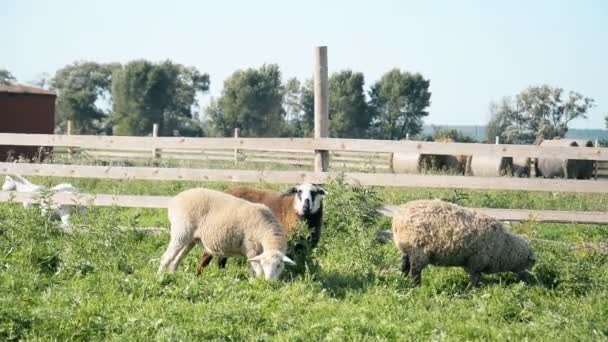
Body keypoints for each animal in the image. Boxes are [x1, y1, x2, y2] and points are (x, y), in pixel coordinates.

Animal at [197, 183, 326, 274]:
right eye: (299, 191)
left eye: (314, 192)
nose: (306, 206)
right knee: (207, 255)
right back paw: (199, 275)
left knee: (221, 258)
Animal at [392, 199, 536, 288]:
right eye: (529, 264)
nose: (528, 281)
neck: (505, 247)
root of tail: (398, 217)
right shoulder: (476, 261)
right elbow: (475, 277)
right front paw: (472, 289)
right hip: (419, 251)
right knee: (415, 271)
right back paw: (416, 287)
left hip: (407, 249)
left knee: (404, 266)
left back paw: (403, 281)